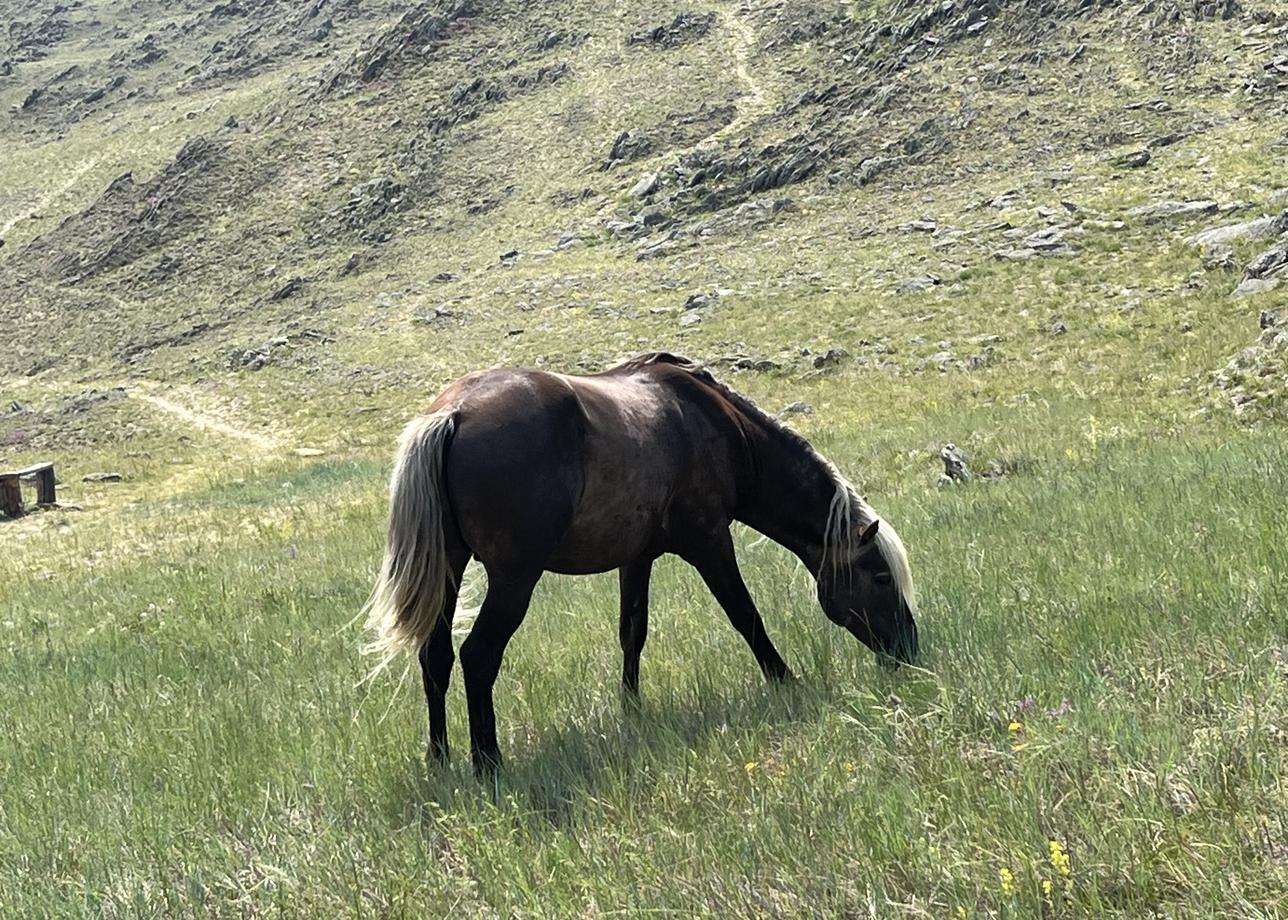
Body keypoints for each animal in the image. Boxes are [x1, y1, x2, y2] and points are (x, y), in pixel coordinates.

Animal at [368, 353, 922, 773]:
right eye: (879, 577)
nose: (909, 651)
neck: (723, 429)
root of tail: (454, 412)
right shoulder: (710, 544)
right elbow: (746, 616)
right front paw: (786, 681)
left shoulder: (637, 559)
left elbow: (632, 631)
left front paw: (631, 710)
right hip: (513, 579)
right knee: (478, 656)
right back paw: (488, 764)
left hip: (450, 569)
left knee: (436, 656)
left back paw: (440, 758)